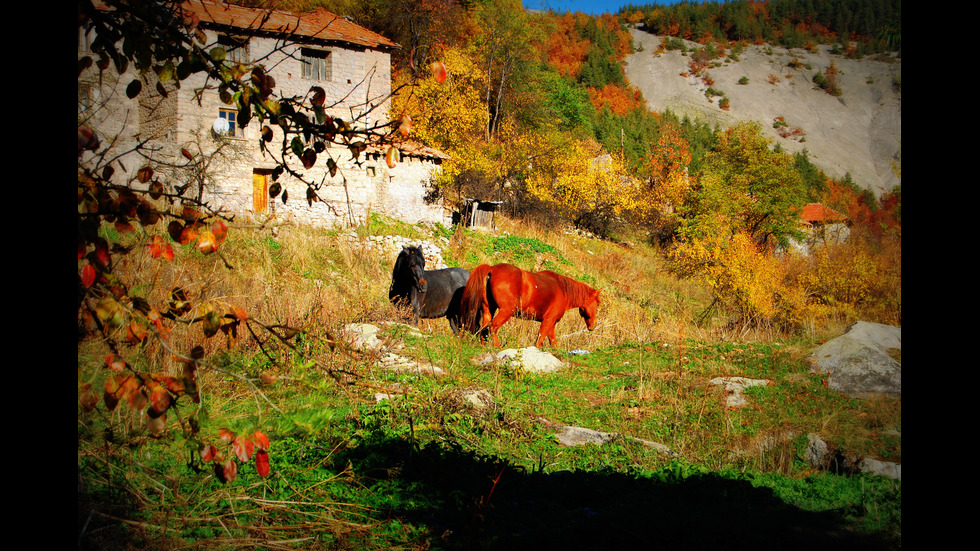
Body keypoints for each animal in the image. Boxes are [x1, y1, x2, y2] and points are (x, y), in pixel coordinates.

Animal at [462, 264, 604, 350]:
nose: (593, 325)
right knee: (492, 327)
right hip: (506, 311)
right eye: (597, 304)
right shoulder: (548, 321)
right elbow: (539, 340)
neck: (563, 290)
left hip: (488, 310)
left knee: (484, 328)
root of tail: (491, 268)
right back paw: (497, 347)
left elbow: (553, 342)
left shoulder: (551, 323)